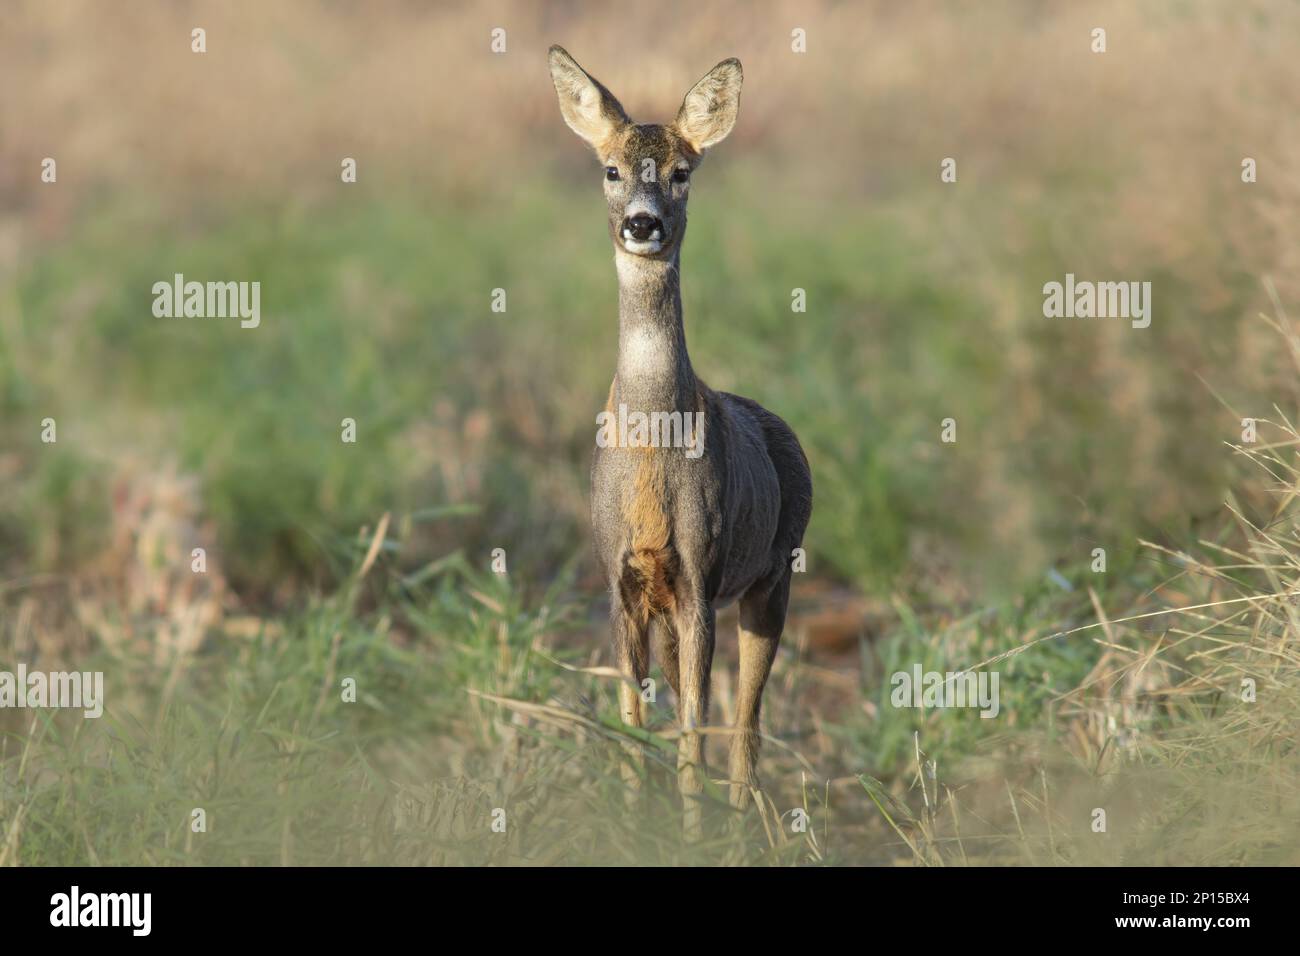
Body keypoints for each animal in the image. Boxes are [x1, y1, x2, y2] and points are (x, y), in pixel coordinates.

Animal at [547, 46, 813, 834]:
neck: (652, 447)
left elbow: (697, 723)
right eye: (610, 169)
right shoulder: (620, 579)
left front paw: (692, 834)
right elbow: (635, 720)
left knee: (746, 726)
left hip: (773, 576)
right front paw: (637, 824)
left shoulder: (702, 574)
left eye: (682, 172)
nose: (643, 223)